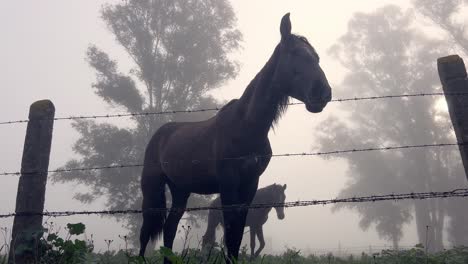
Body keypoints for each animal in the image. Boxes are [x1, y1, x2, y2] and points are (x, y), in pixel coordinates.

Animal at [137, 12, 330, 262]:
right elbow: (230, 234)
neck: (247, 127)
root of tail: (160, 134)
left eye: (316, 56)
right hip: (152, 188)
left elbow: (237, 237)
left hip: (180, 190)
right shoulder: (229, 185)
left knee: (170, 228)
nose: (324, 93)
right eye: (296, 53)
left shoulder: (249, 186)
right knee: (145, 232)